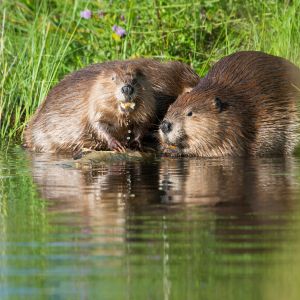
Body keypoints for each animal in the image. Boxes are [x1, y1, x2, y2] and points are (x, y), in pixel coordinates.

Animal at [159, 51, 300, 157]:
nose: (165, 125)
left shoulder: (234, 129)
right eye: (169, 108)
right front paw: (165, 147)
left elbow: (221, 149)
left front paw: (172, 150)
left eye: (190, 113)